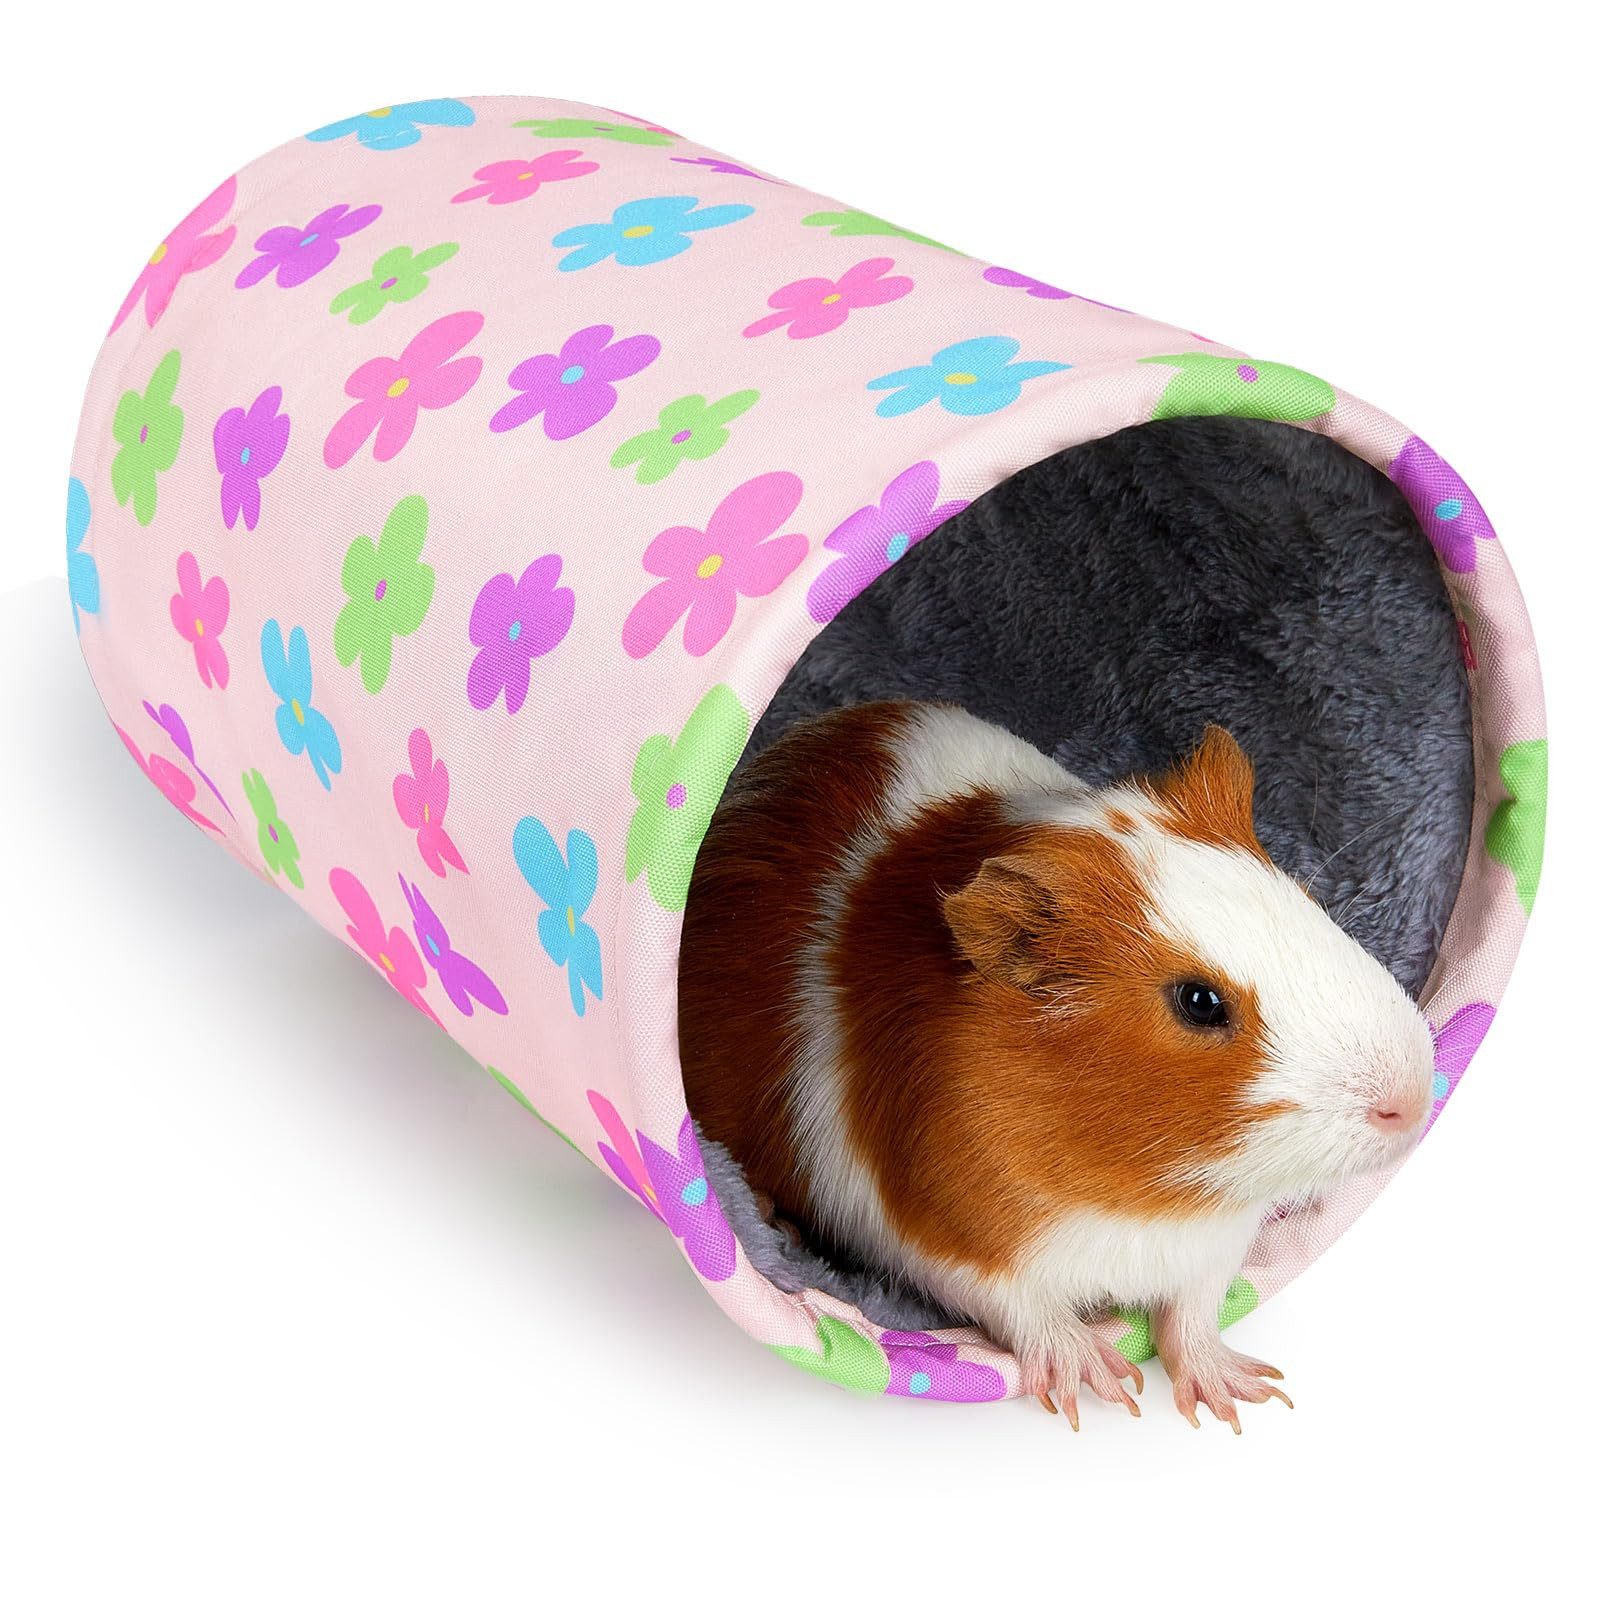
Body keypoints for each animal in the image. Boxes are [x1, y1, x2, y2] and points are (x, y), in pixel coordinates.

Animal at [679, 701, 1436, 1428]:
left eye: (1307, 901)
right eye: (1199, 1001)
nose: (1411, 1098)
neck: (1138, 1199)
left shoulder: (1216, 1244)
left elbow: (1193, 1314)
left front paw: (1239, 1393)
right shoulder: (948, 1237)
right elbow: (1024, 1307)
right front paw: (1105, 1380)